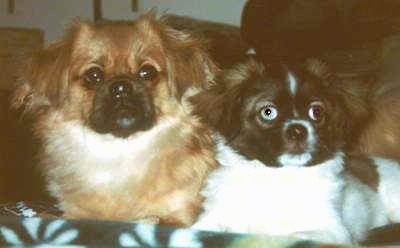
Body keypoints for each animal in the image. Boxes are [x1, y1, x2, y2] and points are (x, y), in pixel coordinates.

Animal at [11, 12, 219, 226]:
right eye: (93, 75)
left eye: (147, 72)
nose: (121, 87)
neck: (118, 152)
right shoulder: (74, 215)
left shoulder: (181, 215)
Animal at [190, 56, 400, 244]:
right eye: (268, 112)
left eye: (316, 112)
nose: (298, 130)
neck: (280, 178)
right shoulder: (215, 217)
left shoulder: (332, 231)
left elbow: (295, 236)